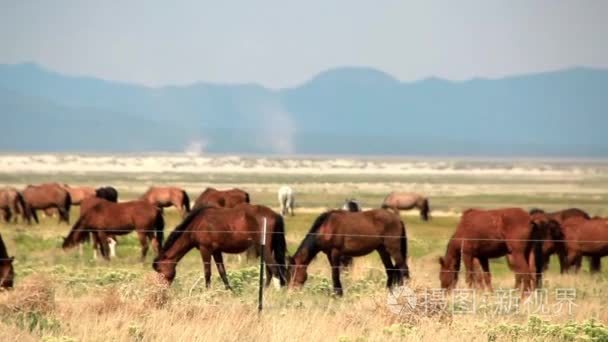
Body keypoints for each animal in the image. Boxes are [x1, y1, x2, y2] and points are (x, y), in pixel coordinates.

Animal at [151, 204, 286, 290]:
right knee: (269, 271)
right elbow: (222, 272)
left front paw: (207, 292)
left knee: (274, 268)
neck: (196, 225)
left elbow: (207, 273)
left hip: (265, 248)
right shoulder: (216, 252)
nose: (161, 289)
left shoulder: (205, 250)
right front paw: (230, 292)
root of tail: (275, 215)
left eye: (160, 271)